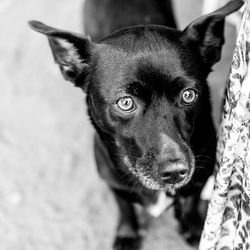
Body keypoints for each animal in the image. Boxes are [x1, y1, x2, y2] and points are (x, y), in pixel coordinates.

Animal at [28, 0, 242, 249]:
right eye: (125, 102)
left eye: (189, 95)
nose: (174, 172)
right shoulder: (113, 182)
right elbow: (125, 208)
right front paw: (127, 234)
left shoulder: (202, 176)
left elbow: (191, 203)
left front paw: (192, 228)